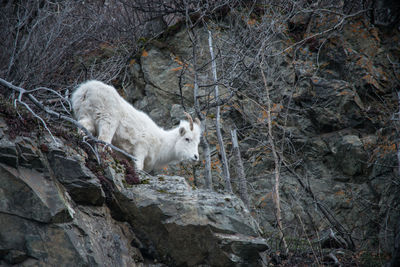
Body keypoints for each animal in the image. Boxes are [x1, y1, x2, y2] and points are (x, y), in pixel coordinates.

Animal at [70, 79, 202, 173]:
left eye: (197, 142)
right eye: (187, 139)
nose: (196, 157)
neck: (161, 143)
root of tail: (86, 90)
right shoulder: (140, 150)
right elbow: (138, 167)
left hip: (86, 116)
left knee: (83, 127)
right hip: (107, 121)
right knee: (103, 140)